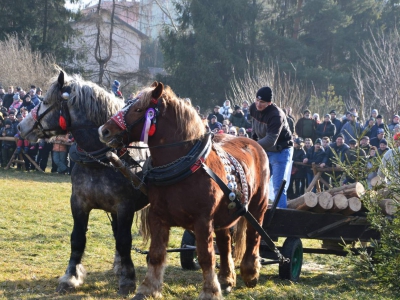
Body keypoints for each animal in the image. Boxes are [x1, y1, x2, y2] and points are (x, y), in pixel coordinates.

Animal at [98, 81, 270, 298]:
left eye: (138, 109)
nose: (104, 131)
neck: (183, 165)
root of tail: (253, 142)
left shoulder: (203, 220)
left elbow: (206, 256)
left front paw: (209, 291)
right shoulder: (158, 216)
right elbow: (156, 254)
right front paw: (148, 289)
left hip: (258, 205)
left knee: (254, 236)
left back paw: (250, 272)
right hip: (224, 214)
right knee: (225, 243)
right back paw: (226, 278)